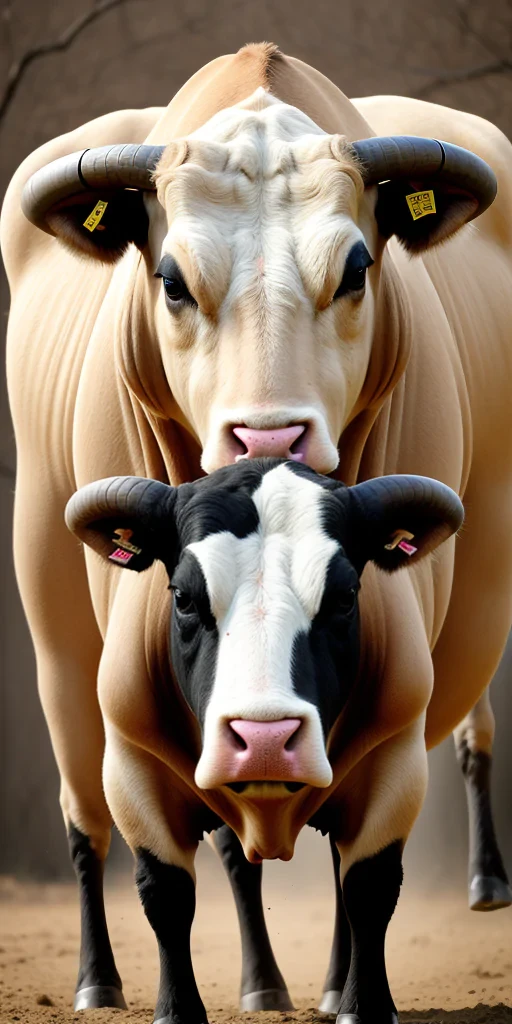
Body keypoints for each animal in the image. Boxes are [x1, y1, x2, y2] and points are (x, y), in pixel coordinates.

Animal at [2, 40, 512, 1024]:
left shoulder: (391, 716)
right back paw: (107, 979)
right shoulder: (134, 721)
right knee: (92, 822)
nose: (269, 441)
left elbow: (364, 872)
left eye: (355, 269)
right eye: (170, 278)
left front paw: (354, 993)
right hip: (55, 636)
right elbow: (164, 874)